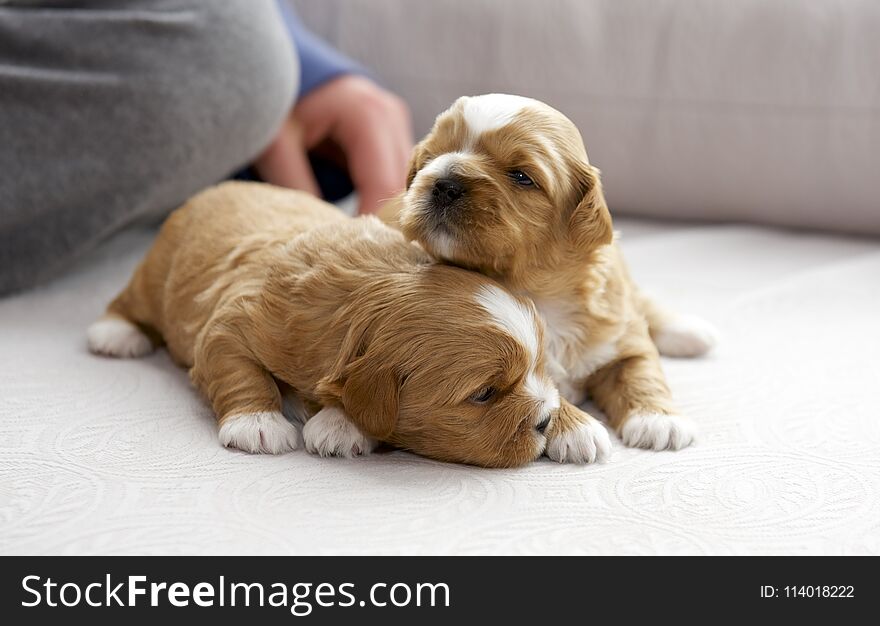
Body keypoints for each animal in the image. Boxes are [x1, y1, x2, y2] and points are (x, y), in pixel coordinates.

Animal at [89, 179, 612, 464]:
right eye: (484, 394)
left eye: (539, 368)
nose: (543, 421)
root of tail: (217, 188)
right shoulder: (232, 321)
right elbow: (237, 367)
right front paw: (259, 423)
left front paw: (575, 422)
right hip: (156, 273)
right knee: (129, 301)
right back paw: (116, 334)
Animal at [396, 94, 720, 448]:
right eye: (431, 157)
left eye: (521, 176)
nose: (444, 184)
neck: (541, 294)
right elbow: (542, 395)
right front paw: (579, 429)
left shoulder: (620, 332)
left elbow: (641, 368)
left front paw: (658, 419)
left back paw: (686, 330)